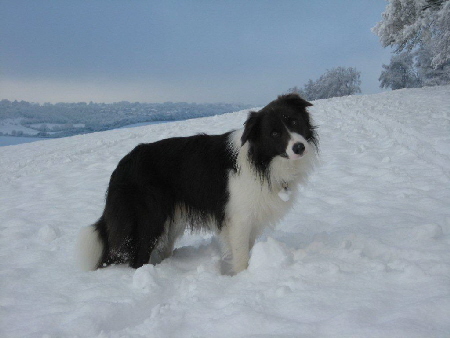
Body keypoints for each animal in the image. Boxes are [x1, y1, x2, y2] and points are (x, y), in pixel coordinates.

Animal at [76, 93, 316, 274]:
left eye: (294, 121)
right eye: (274, 133)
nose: (299, 147)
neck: (261, 161)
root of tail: (122, 164)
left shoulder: (253, 216)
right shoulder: (239, 218)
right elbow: (241, 255)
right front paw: (242, 278)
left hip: (170, 221)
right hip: (149, 218)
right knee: (138, 256)